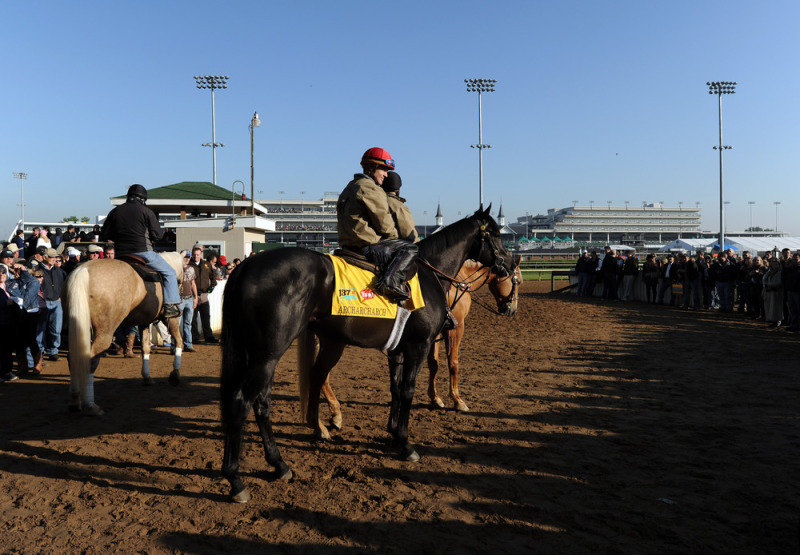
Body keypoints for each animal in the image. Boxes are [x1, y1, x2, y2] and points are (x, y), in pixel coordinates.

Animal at [65, 254, 184, 414]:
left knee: (73, 359)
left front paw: (147, 377)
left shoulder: (144, 322)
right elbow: (178, 341)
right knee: (89, 360)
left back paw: (75, 400)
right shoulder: (170, 318)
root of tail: (83, 269)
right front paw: (175, 374)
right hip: (104, 332)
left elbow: (146, 348)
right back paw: (90, 405)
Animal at [312, 258, 524, 430]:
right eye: (518, 281)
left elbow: (434, 364)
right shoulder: (455, 329)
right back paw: (334, 414)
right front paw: (457, 400)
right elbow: (453, 363)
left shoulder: (433, 335)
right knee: (321, 373)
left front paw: (435, 398)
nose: (512, 309)